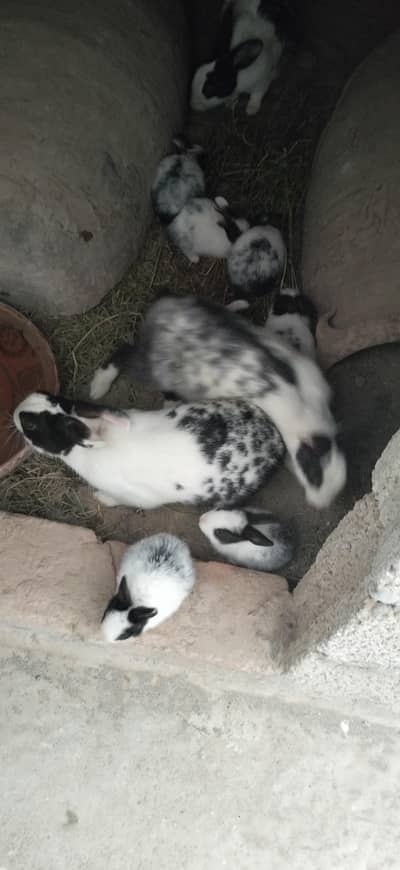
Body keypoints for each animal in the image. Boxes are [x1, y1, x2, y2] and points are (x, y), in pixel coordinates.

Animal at [89, 293, 346, 509]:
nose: (319, 504)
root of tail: (165, 309)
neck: (307, 415)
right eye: (313, 474)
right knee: (123, 353)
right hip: (149, 369)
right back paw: (97, 387)